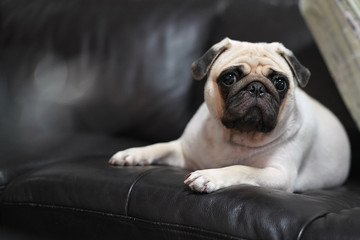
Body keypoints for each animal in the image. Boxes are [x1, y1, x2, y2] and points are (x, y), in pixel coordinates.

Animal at [108, 38, 350, 194]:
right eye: (229, 78)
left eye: (280, 83)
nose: (256, 87)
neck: (237, 135)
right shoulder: (184, 153)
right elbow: (160, 146)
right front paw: (132, 154)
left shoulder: (279, 175)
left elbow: (242, 169)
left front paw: (210, 176)